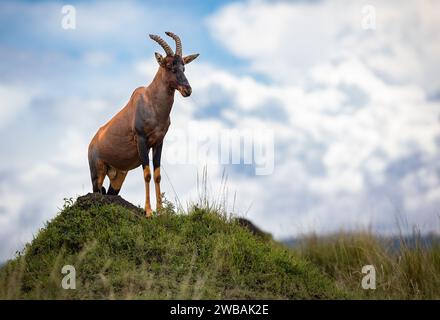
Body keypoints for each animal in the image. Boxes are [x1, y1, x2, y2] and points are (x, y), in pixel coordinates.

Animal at [87, 32, 199, 216]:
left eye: (184, 67)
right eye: (169, 66)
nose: (187, 90)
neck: (150, 102)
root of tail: (92, 143)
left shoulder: (159, 142)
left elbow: (157, 174)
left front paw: (161, 211)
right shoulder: (141, 141)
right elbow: (147, 174)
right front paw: (148, 212)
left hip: (118, 176)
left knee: (110, 192)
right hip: (97, 173)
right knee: (97, 191)